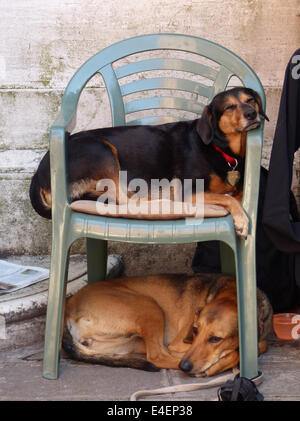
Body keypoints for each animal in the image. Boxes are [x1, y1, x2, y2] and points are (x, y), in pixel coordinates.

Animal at [29, 86, 268, 236]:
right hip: (101, 149)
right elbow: (231, 200)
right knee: (124, 201)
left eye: (250, 100)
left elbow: (237, 194)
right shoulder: (190, 192)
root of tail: (38, 173)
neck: (220, 148)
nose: (251, 114)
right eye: (229, 107)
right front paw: (242, 220)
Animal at [62, 274, 274, 376]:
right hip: (149, 307)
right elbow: (241, 351)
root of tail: (69, 306)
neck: (230, 291)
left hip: (125, 342)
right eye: (195, 330)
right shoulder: (180, 342)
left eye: (215, 338)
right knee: (157, 356)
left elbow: (260, 344)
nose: (186, 365)